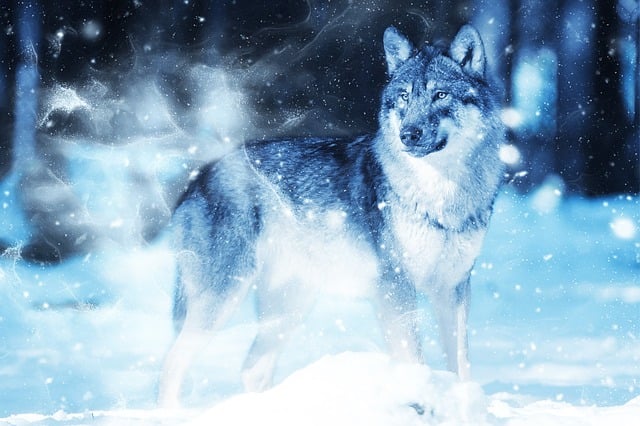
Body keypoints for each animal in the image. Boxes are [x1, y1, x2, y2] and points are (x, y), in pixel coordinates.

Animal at [158, 24, 504, 407]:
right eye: (403, 97)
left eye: (440, 94)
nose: (408, 135)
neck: (441, 195)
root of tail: (198, 178)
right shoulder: (395, 289)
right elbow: (414, 360)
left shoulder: (453, 289)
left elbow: (461, 365)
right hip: (223, 298)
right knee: (172, 362)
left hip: (289, 308)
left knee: (251, 368)